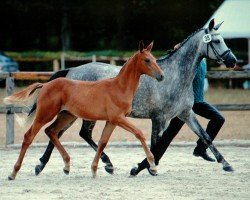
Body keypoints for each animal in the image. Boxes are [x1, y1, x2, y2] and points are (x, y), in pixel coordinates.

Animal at [4, 40, 164, 180]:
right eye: (147, 60)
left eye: (154, 59)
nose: (161, 76)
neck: (119, 88)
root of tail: (45, 85)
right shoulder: (118, 118)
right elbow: (139, 134)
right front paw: (153, 166)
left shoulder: (111, 121)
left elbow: (102, 142)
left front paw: (95, 169)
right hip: (45, 114)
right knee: (29, 137)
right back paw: (13, 173)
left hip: (66, 116)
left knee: (51, 131)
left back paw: (66, 165)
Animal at [33, 18, 236, 175]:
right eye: (216, 41)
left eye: (223, 39)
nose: (232, 61)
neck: (175, 76)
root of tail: (72, 70)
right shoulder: (159, 118)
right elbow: (156, 145)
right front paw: (142, 168)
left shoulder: (185, 114)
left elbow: (205, 137)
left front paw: (226, 164)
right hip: (78, 114)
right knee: (67, 132)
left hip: (74, 113)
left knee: (62, 133)